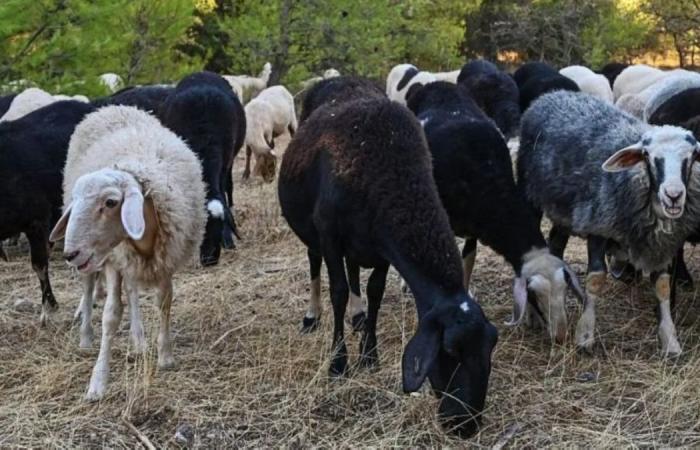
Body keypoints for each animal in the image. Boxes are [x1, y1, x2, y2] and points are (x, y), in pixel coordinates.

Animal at [48, 105, 206, 401]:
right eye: (75, 201)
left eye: (111, 202)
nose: (70, 254)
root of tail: (112, 107)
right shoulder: (113, 261)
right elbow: (110, 315)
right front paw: (98, 382)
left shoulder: (165, 258)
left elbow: (164, 302)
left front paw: (165, 355)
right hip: (100, 262)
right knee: (89, 288)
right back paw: (86, 337)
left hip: (128, 262)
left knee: (132, 290)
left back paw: (138, 339)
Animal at [160, 72, 246, 264]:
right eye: (201, 229)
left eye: (220, 226)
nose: (209, 259)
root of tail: (201, 73)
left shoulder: (224, 162)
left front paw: (228, 239)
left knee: (228, 187)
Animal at [278, 97, 497, 437]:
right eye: (449, 351)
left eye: (490, 347)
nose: (465, 426)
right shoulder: (330, 235)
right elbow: (338, 292)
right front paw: (338, 363)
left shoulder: (381, 247)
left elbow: (375, 292)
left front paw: (370, 354)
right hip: (312, 235)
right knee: (316, 266)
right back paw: (312, 317)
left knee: (354, 272)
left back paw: (358, 318)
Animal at [407, 82, 584, 343]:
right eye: (534, 295)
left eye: (565, 290)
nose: (560, 336)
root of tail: (436, 84)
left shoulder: (474, 228)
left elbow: (468, 261)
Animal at [518, 90, 700, 356]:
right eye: (647, 156)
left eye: (692, 156)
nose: (673, 195)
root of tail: (552, 95)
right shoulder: (598, 226)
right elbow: (595, 279)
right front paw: (584, 337)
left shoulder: (663, 245)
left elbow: (663, 286)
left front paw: (670, 342)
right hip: (530, 195)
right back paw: (533, 314)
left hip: (565, 211)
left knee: (556, 244)